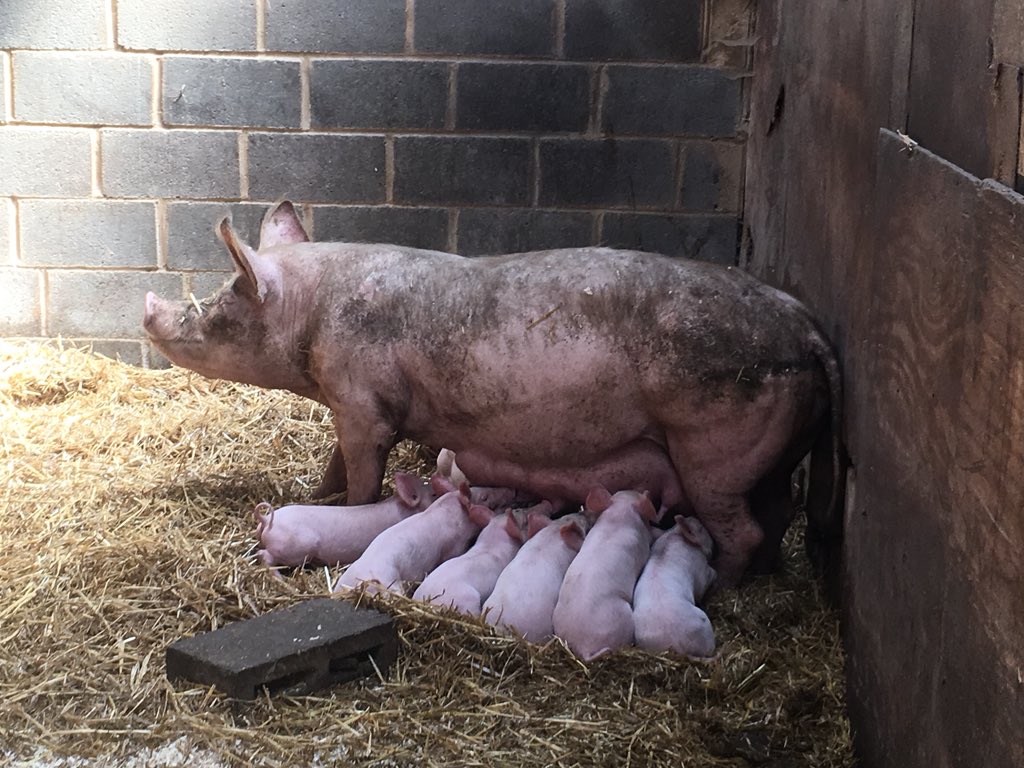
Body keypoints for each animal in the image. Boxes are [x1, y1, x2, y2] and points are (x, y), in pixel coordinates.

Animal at [632, 515, 718, 658]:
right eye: (701, 528)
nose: (716, 545)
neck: (674, 534)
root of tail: (678, 647)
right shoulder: (700, 572)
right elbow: (705, 582)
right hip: (704, 624)